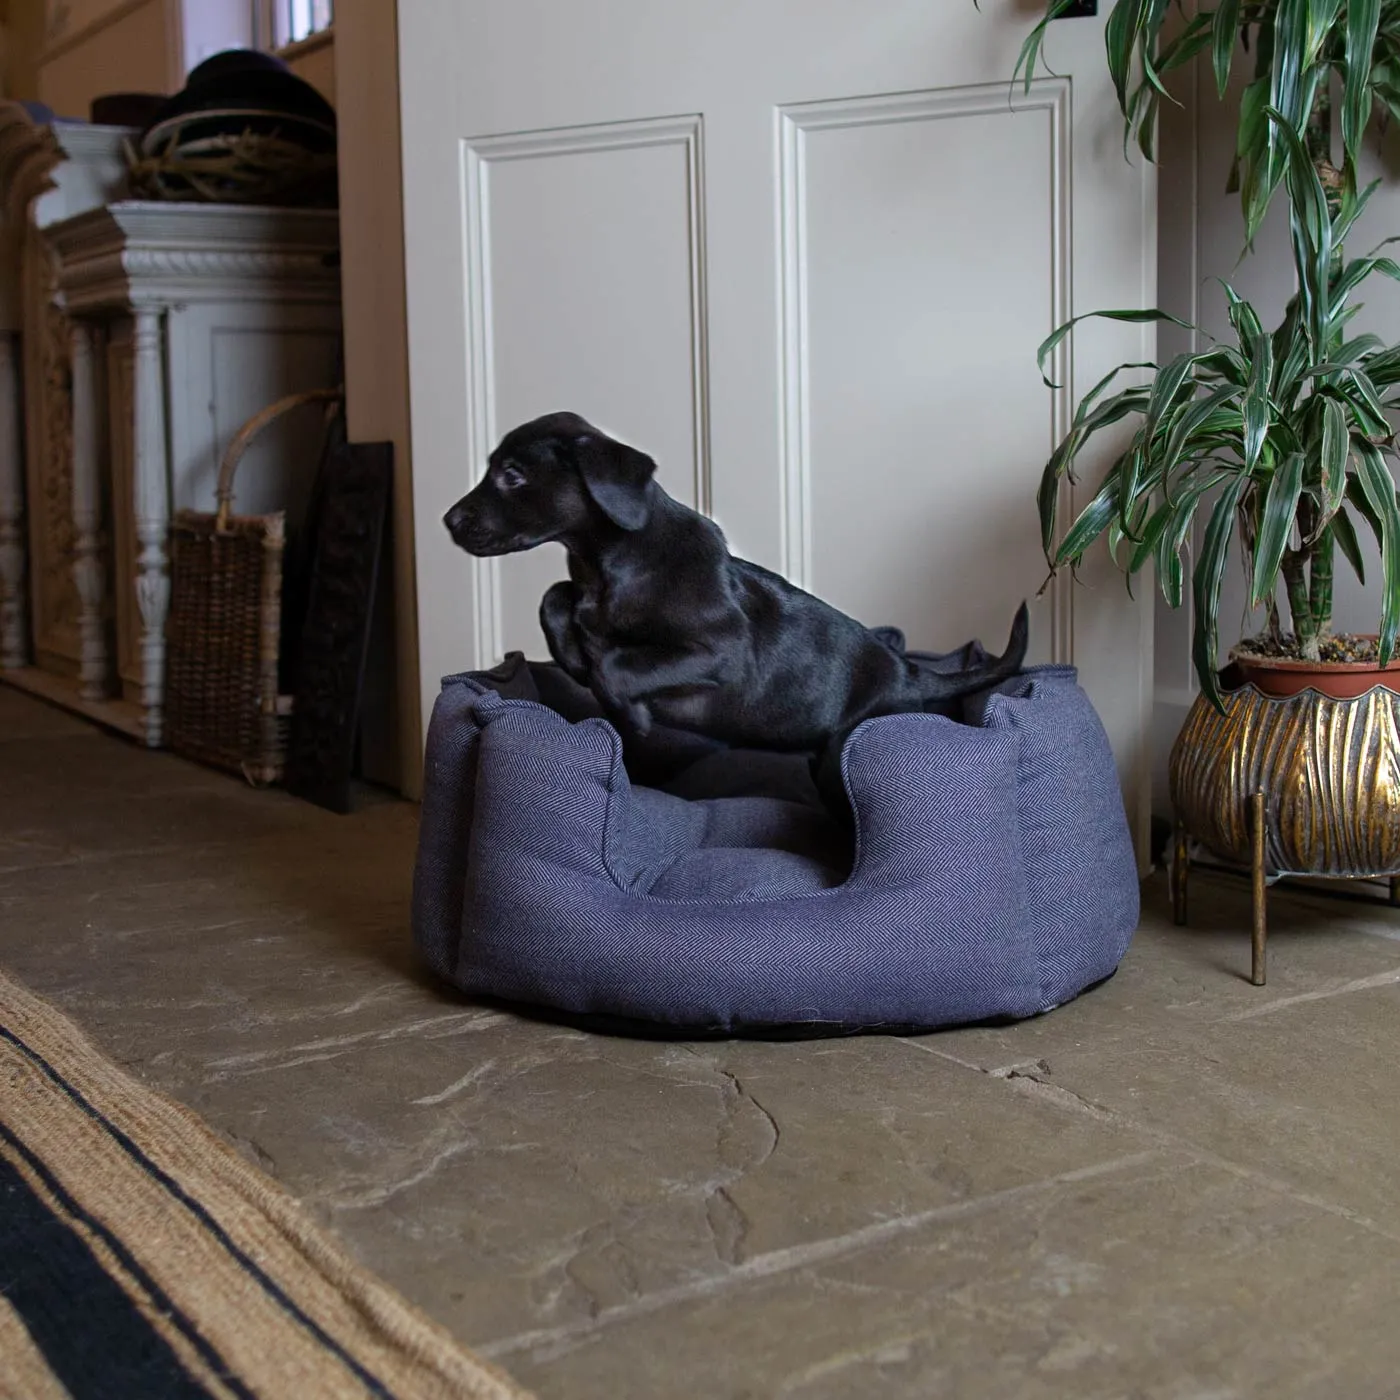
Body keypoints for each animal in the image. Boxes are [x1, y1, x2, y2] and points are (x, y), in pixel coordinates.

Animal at [448, 414, 1030, 761]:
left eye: (514, 475)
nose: (447, 520)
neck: (609, 565)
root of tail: (910, 675)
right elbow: (554, 597)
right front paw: (573, 653)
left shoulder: (720, 651)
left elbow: (615, 664)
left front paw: (631, 713)